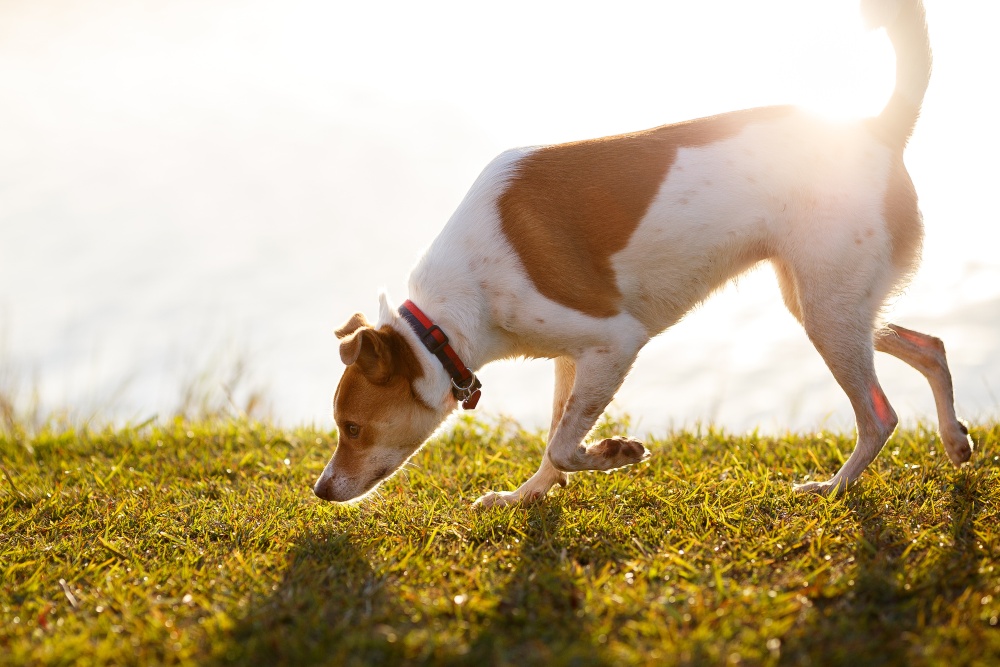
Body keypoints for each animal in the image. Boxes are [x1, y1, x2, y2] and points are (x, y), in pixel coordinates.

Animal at [312, 0, 968, 506]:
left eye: (352, 427)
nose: (319, 490)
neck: (446, 322)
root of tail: (876, 130)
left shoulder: (615, 341)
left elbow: (562, 445)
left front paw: (617, 452)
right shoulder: (574, 358)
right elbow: (555, 440)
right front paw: (526, 497)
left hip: (829, 310)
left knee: (880, 416)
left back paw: (835, 487)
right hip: (825, 302)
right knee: (928, 346)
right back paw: (955, 440)